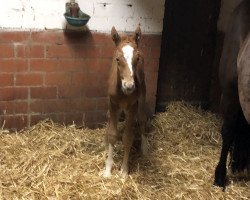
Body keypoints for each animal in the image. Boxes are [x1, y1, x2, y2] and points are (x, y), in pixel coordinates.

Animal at [102, 25, 147, 177]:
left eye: (138, 58)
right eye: (117, 59)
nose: (129, 86)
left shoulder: (133, 105)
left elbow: (128, 137)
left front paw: (124, 171)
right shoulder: (112, 103)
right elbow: (112, 134)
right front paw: (108, 170)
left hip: (142, 93)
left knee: (142, 118)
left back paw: (145, 147)